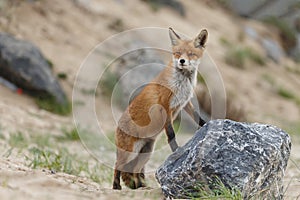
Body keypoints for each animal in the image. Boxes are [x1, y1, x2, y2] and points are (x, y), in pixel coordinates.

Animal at [112, 27, 209, 189]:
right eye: (177, 53)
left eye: (190, 54)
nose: (182, 61)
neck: (182, 82)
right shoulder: (165, 106)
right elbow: (171, 134)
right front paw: (177, 151)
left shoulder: (185, 103)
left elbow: (198, 117)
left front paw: (207, 124)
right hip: (130, 153)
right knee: (117, 165)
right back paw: (116, 187)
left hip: (146, 153)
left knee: (135, 170)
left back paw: (141, 187)